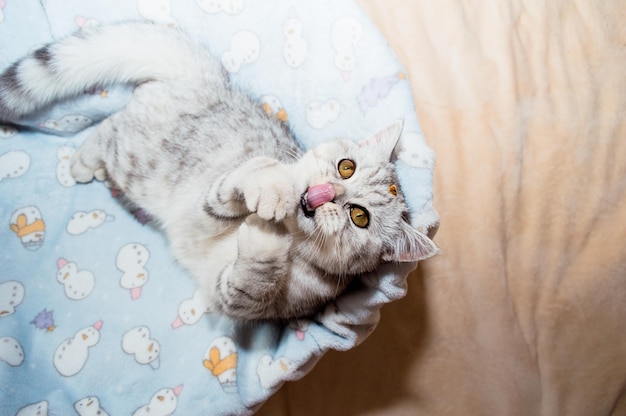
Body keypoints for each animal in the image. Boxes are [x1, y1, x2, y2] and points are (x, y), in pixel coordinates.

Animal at [0, 22, 436, 320]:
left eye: (359, 216)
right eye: (347, 167)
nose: (328, 191)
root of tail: (210, 79)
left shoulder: (240, 299)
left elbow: (252, 281)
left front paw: (265, 241)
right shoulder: (210, 198)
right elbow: (236, 184)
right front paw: (272, 184)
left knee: (109, 128)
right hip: (139, 159)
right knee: (106, 128)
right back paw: (82, 162)